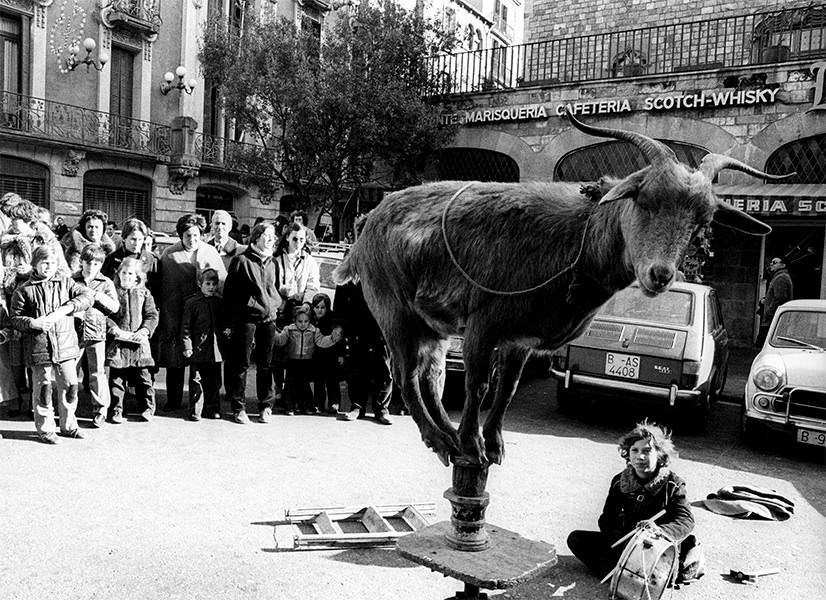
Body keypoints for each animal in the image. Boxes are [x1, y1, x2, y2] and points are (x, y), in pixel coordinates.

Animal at [334, 112, 784, 468]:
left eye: (702, 219)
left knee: (431, 377)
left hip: (433, 325)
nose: (660, 274)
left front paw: (493, 445)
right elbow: (479, 386)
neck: (574, 240)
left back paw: (446, 433)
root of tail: (368, 222)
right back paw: (443, 442)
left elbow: (506, 390)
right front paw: (473, 445)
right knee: (406, 376)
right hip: (393, 310)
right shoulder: (482, 325)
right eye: (643, 199)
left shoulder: (519, 339)